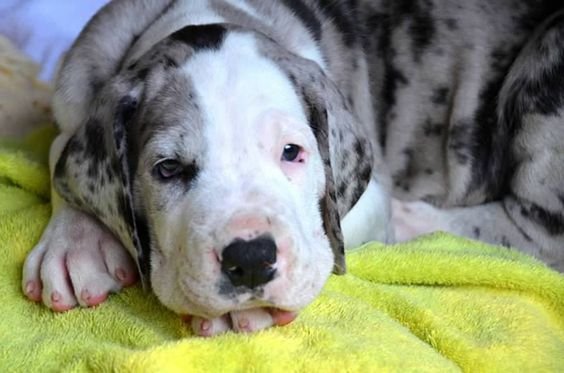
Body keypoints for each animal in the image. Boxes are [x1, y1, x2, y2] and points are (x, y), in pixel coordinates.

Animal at [20, 0, 564, 336]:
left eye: (291, 153)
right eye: (168, 169)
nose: (251, 259)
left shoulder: (367, 191)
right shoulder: (76, 87)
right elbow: (61, 149)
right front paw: (75, 245)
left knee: (534, 237)